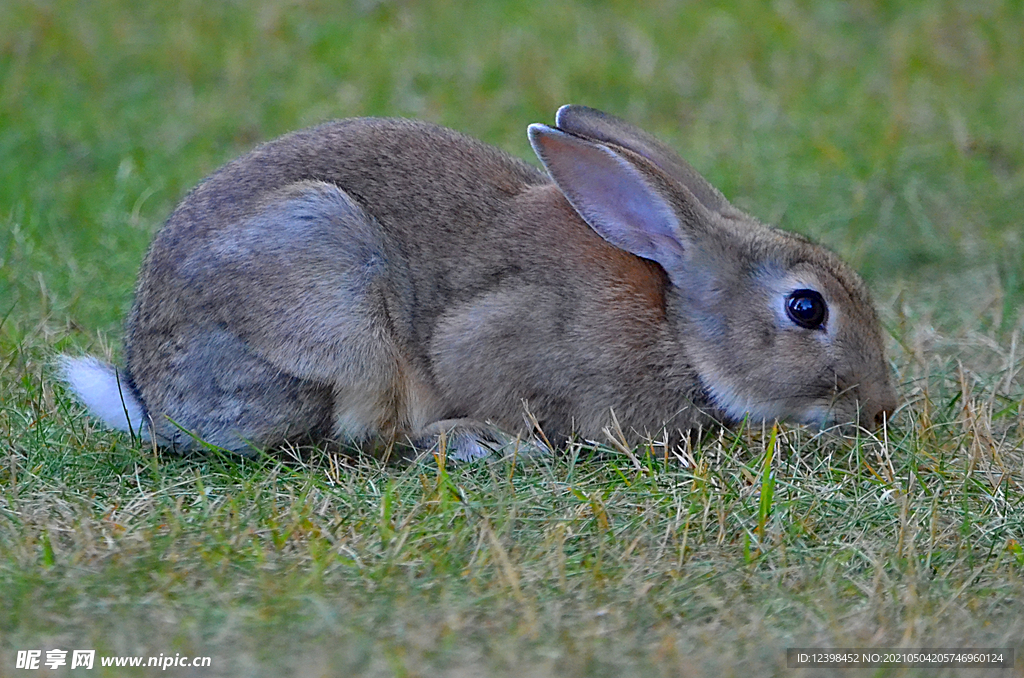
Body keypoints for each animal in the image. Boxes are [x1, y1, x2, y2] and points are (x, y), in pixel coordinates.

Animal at [61, 106, 897, 458]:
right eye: (806, 308)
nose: (882, 408)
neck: (680, 327)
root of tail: (156, 399)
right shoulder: (491, 338)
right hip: (339, 300)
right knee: (375, 431)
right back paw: (485, 446)